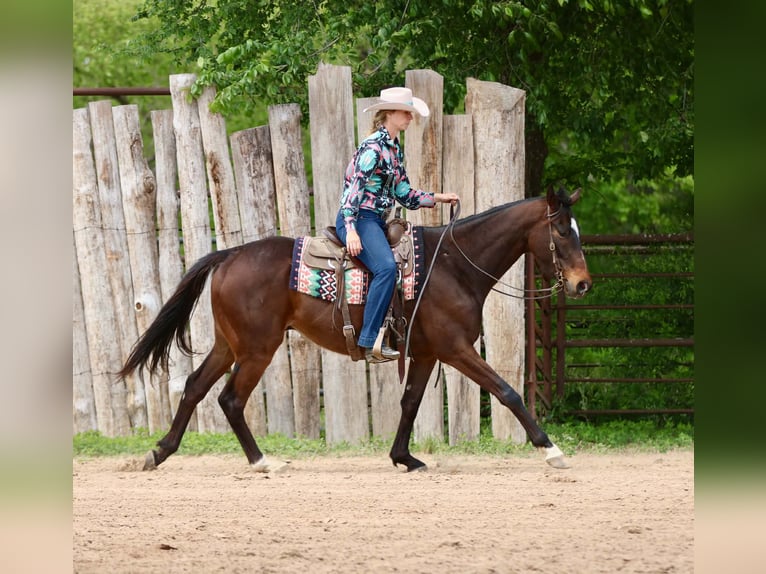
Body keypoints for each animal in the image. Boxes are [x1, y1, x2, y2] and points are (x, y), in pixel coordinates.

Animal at [119, 186, 592, 472]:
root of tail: (230, 255)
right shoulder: (456, 349)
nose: (582, 284)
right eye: (560, 232)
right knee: (230, 399)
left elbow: (410, 403)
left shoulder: (426, 354)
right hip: (256, 349)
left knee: (195, 387)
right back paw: (262, 461)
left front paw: (405, 458)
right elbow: (507, 392)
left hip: (228, 345)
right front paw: (551, 449)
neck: (452, 266)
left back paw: (160, 451)